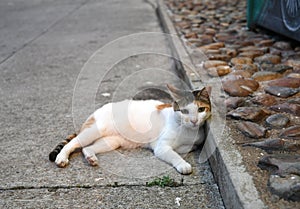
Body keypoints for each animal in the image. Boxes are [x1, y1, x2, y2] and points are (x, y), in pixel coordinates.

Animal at [49, 85, 211, 175]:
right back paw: (61, 158)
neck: (188, 132)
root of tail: (96, 111)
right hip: (94, 131)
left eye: (201, 109)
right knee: (72, 144)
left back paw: (91, 158)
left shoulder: (191, 145)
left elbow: (184, 149)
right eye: (184, 111)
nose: (194, 121)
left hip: (111, 141)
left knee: (86, 148)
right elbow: (175, 155)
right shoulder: (161, 147)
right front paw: (183, 165)